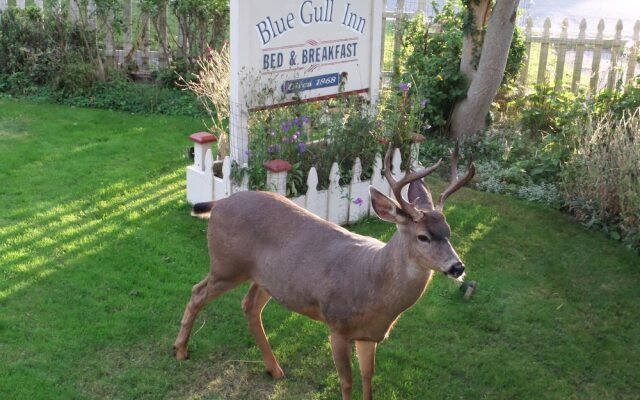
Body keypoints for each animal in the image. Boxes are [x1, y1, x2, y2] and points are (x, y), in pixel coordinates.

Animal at [175, 142, 476, 398]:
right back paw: (180, 351)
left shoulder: (369, 336)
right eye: (423, 237)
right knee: (197, 292)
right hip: (227, 265)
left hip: (267, 279)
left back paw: (274, 368)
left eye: (448, 232)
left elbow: (368, 379)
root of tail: (219, 203)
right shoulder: (338, 326)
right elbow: (347, 381)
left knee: (249, 306)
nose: (457, 266)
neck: (373, 280)